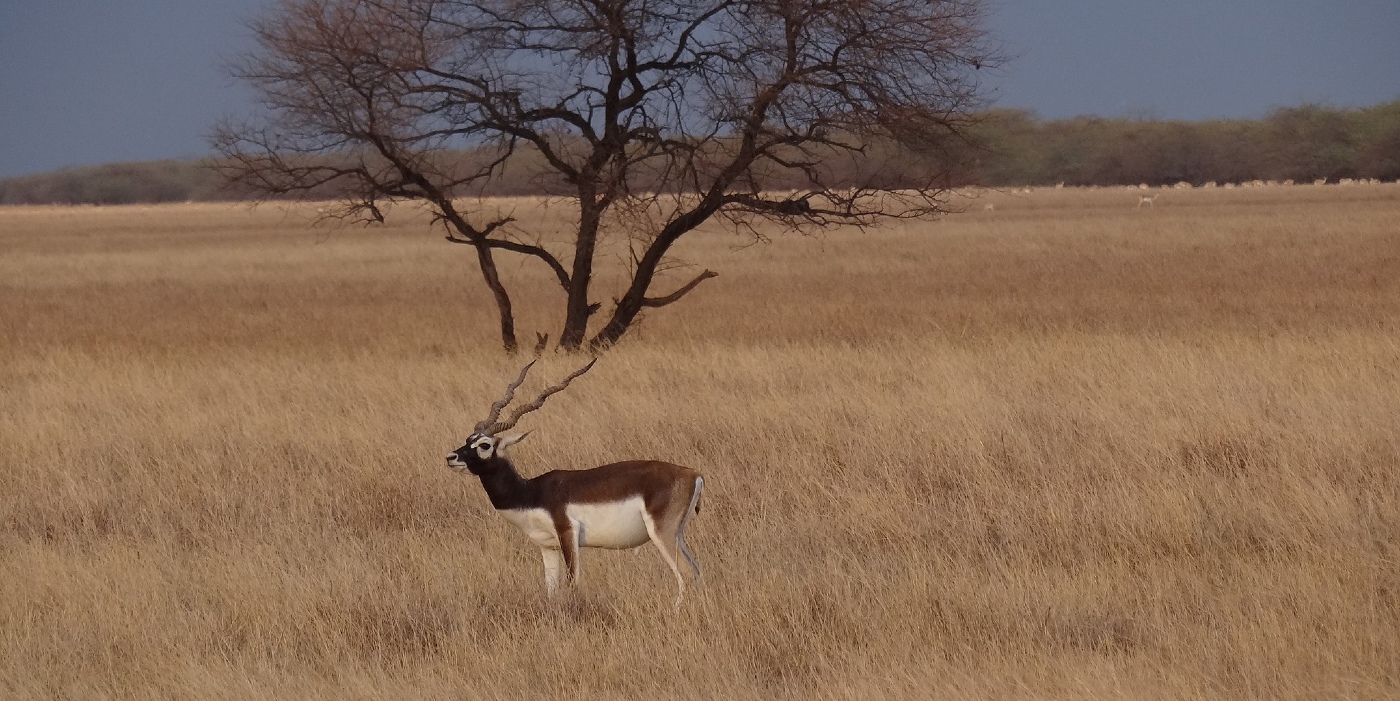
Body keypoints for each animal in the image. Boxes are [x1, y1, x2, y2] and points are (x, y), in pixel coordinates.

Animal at [448, 360, 705, 607]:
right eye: (468, 439)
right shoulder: (547, 546)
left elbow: (573, 582)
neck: (531, 493)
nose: (451, 457)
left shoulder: (568, 533)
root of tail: (693, 474)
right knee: (697, 570)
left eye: (484, 445)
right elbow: (551, 590)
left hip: (661, 532)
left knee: (686, 573)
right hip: (677, 534)